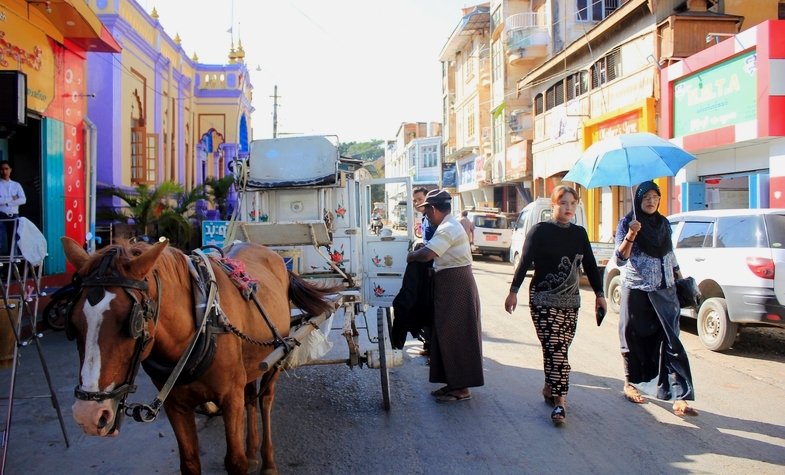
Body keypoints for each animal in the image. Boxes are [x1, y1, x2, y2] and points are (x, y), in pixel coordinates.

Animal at [62, 238, 340, 475]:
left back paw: (268, 462)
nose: (87, 415)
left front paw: (248, 460)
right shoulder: (175, 405)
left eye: (131, 323)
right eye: (73, 323)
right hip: (251, 365)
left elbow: (235, 461)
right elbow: (190, 462)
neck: (200, 325)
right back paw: (252, 453)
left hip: (277, 354)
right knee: (251, 398)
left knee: (265, 402)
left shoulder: (230, 397)